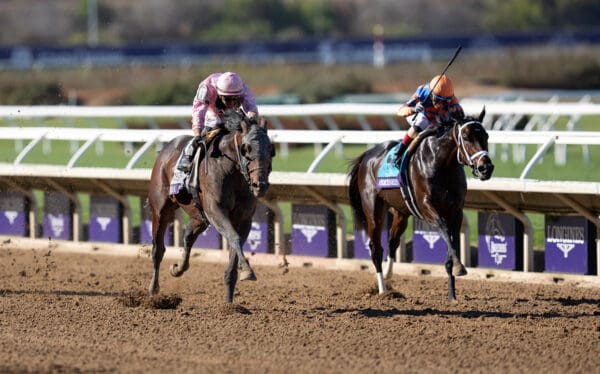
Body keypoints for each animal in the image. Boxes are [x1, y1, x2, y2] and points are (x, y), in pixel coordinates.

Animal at [149, 109, 276, 304]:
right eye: (246, 148)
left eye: (271, 150)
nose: (259, 185)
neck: (232, 172)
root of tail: (166, 149)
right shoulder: (216, 211)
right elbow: (234, 238)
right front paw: (247, 270)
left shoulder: (243, 220)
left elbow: (234, 246)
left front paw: (230, 303)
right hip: (161, 209)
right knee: (158, 249)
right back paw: (154, 289)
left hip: (199, 215)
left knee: (188, 235)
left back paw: (178, 268)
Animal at [350, 108, 494, 300]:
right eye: (466, 136)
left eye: (486, 135)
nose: (486, 168)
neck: (442, 165)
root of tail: (367, 156)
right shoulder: (427, 207)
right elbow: (444, 230)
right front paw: (459, 267)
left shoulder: (456, 211)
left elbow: (452, 242)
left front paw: (452, 294)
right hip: (373, 212)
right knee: (376, 249)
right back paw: (382, 290)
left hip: (401, 213)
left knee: (392, 242)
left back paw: (388, 276)